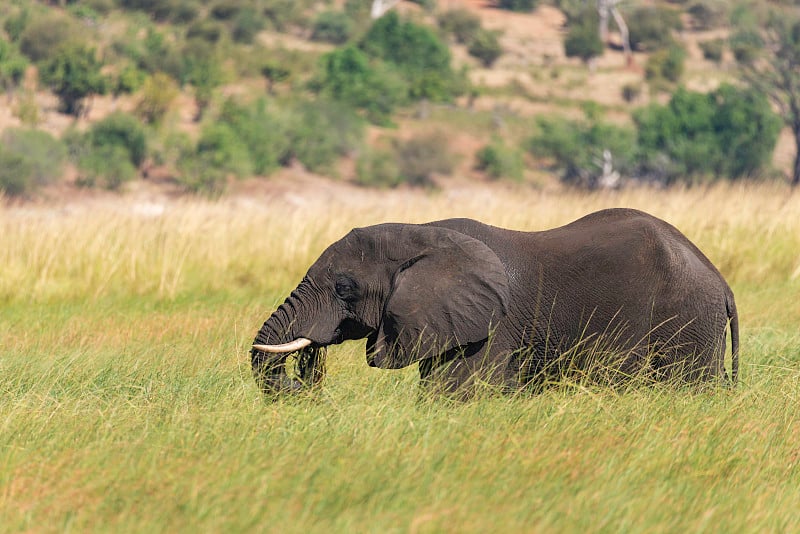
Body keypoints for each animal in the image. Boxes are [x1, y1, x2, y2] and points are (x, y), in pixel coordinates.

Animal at [253, 209, 740, 398]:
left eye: (344, 287)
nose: (301, 382)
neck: (421, 230)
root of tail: (720, 280)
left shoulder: (490, 328)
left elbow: (453, 395)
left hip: (686, 324)